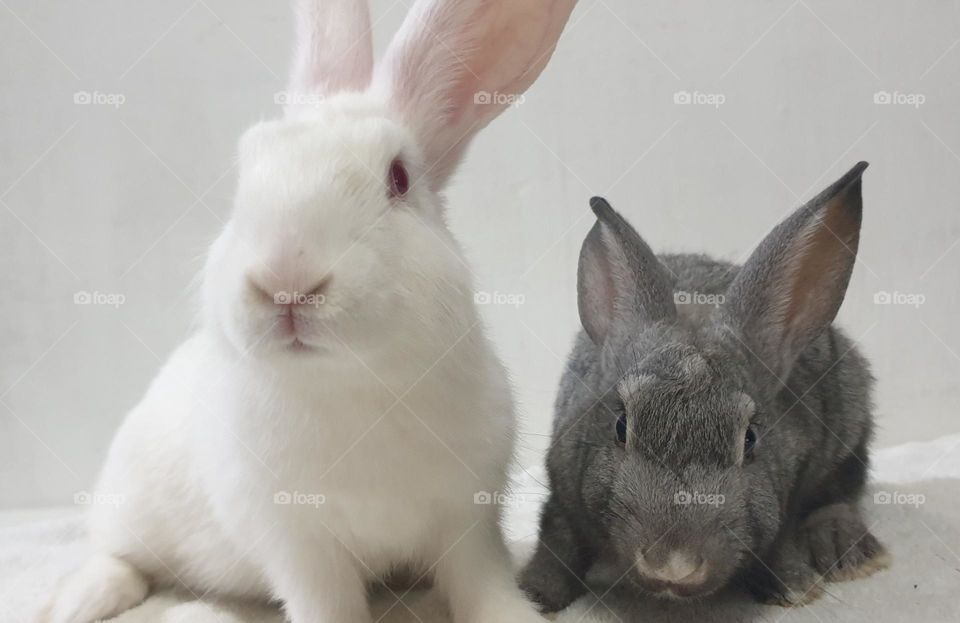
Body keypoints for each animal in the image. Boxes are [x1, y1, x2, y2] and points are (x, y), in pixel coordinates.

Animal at [45, 1, 577, 622]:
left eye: (398, 178)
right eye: (244, 176)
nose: (286, 280)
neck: (349, 382)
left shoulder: (469, 518)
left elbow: (482, 583)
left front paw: (514, 614)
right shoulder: (298, 545)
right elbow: (328, 602)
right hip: (129, 501)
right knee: (116, 554)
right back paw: (79, 602)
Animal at [519, 162, 890, 613]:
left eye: (750, 440)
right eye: (621, 428)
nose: (673, 565)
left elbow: (781, 542)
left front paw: (796, 588)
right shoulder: (563, 495)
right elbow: (559, 545)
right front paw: (534, 595)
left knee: (841, 491)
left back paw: (846, 551)